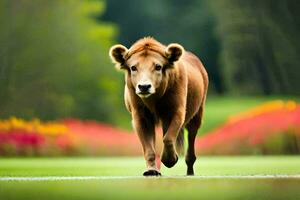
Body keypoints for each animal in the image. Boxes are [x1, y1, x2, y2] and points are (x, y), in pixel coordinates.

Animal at [109, 36, 207, 176]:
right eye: (133, 67)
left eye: (158, 66)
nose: (144, 86)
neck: (153, 100)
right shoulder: (140, 115)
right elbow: (149, 147)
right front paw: (151, 170)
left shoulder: (177, 110)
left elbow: (168, 138)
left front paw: (170, 159)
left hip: (197, 112)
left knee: (192, 134)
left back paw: (190, 170)